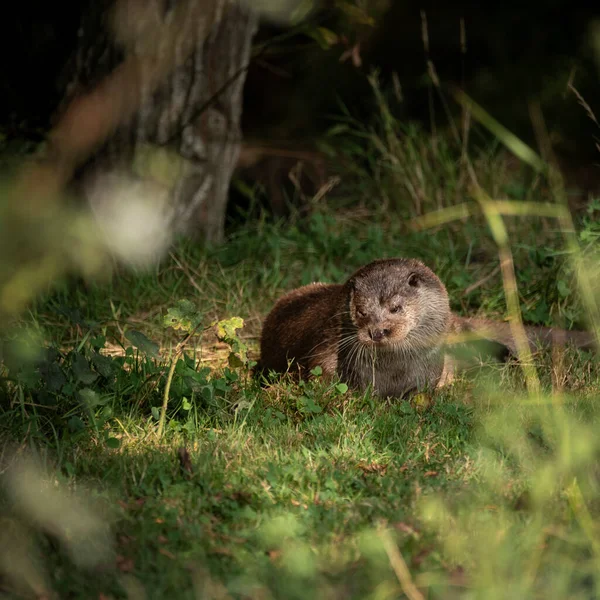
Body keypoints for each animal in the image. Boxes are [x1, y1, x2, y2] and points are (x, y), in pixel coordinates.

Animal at [256, 258, 596, 398]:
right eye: (362, 312)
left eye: (395, 307)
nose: (377, 331)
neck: (393, 375)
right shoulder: (328, 348)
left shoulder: (429, 369)